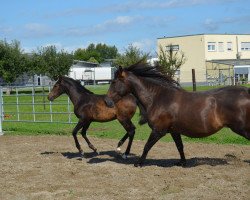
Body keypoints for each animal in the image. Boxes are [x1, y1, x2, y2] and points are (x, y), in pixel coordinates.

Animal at [105, 61, 250, 166]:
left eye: (114, 82)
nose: (107, 101)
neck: (158, 98)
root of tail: (246, 92)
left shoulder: (158, 130)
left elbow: (147, 146)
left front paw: (138, 163)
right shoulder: (174, 131)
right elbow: (179, 146)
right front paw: (182, 162)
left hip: (242, 128)